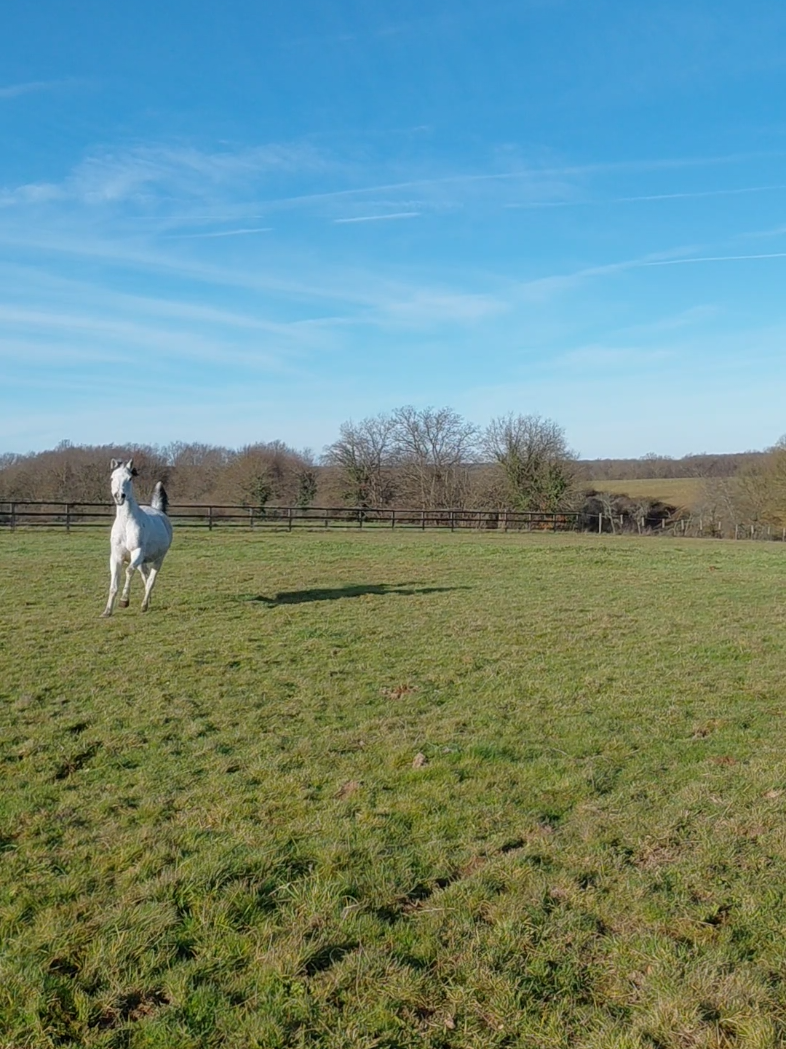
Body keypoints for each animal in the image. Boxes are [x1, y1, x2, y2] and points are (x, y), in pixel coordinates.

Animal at [101, 459, 173, 617]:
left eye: (130, 478)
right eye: (112, 478)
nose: (119, 496)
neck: (126, 523)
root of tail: (158, 511)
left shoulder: (137, 552)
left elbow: (128, 571)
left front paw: (124, 601)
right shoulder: (116, 557)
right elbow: (113, 584)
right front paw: (107, 611)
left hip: (158, 559)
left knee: (151, 579)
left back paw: (144, 605)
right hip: (142, 561)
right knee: (145, 576)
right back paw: (148, 600)